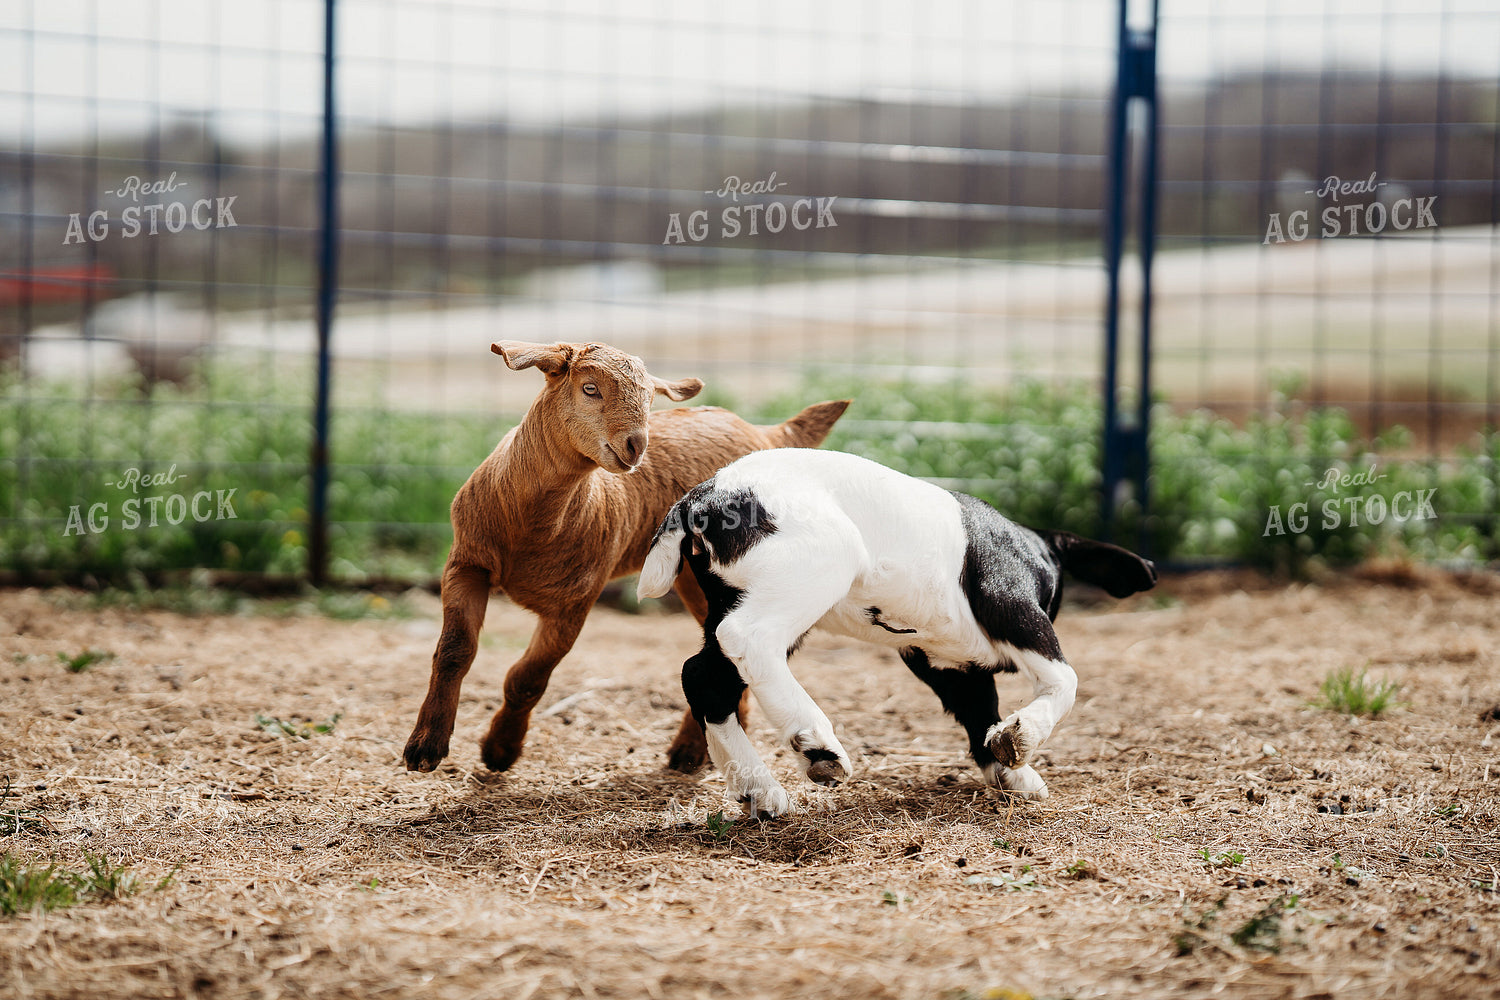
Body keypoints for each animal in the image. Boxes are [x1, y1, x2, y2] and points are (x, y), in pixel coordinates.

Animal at [403, 340, 850, 775]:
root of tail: (765, 433)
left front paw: (500, 750)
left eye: (651, 399)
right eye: (589, 388)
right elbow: (454, 651)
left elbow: (527, 678)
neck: (530, 526)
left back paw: (689, 752)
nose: (637, 445)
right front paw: (426, 747)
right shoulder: (466, 563)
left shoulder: (576, 600)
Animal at [637, 448, 1157, 817]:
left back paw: (758, 789)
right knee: (747, 638)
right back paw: (817, 745)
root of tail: (699, 500)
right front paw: (1020, 740)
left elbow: (980, 712)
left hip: (743, 597)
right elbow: (1063, 678)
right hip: (815, 567)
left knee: (705, 675)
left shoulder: (945, 662)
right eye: (1051, 595)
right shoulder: (1009, 604)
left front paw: (1014, 774)